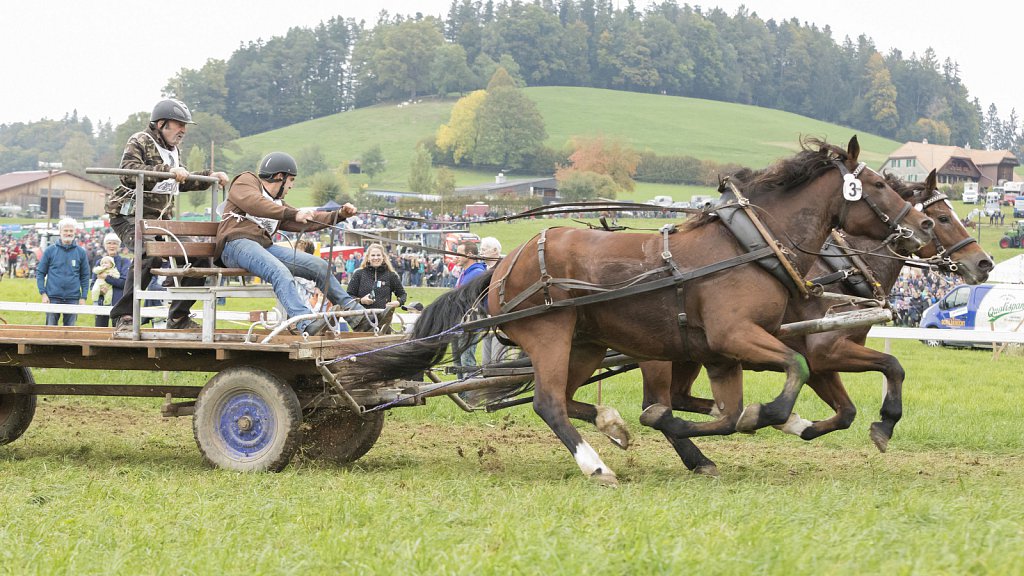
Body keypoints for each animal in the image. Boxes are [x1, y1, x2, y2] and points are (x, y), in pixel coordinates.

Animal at [339, 136, 933, 481]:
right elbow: (792, 373)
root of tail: (504, 264)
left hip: (587, 343)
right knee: (549, 404)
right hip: (552, 335)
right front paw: (774, 418)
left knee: (570, 399)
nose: (924, 225)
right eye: (877, 184)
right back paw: (596, 464)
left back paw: (616, 426)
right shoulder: (738, 337)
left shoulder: (722, 353)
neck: (751, 247)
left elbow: (726, 411)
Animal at [638, 168, 991, 469]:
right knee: (657, 403)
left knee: (675, 398)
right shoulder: (827, 351)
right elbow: (892, 365)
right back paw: (692, 453)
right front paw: (886, 422)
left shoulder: (821, 364)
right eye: (942, 218)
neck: (846, 271)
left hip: (689, 352)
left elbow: (847, 412)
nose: (984, 262)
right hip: (659, 354)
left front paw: (796, 424)